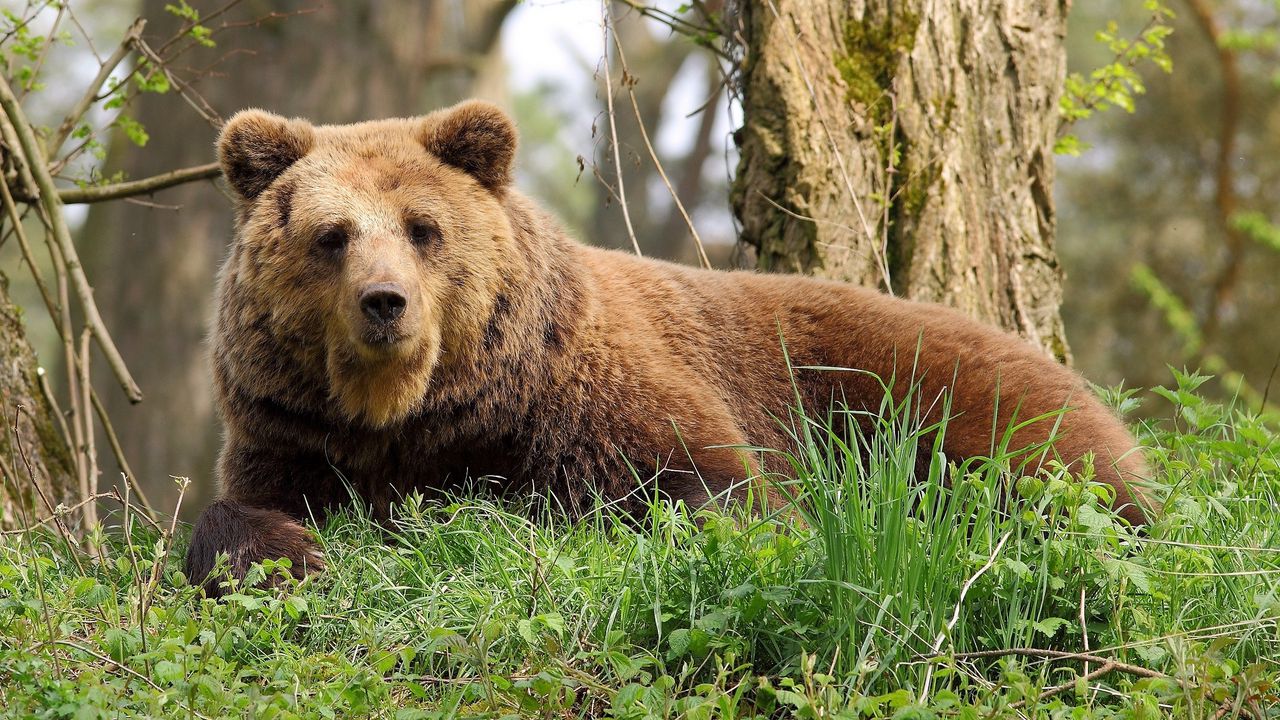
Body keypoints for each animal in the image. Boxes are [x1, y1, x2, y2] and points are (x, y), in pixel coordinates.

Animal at [185, 99, 1157, 594]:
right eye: (332, 235)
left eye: (423, 229)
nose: (384, 304)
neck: (419, 415)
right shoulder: (293, 431)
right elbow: (239, 508)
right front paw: (287, 551)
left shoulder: (586, 398)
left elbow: (712, 494)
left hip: (938, 400)